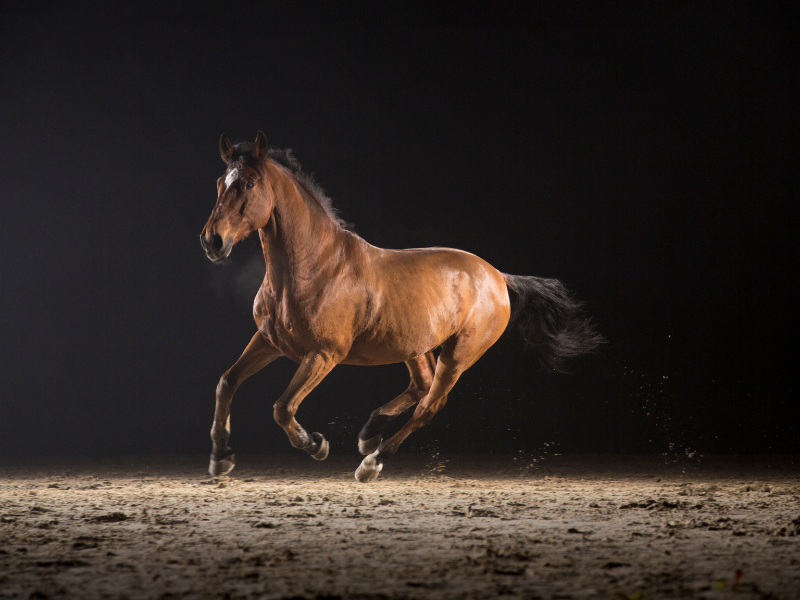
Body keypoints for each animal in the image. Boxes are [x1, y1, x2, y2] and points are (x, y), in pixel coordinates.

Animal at [200, 131, 602, 482]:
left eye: (249, 184)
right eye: (220, 182)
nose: (212, 241)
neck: (315, 267)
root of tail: (498, 277)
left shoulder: (323, 354)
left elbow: (283, 407)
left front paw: (316, 444)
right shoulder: (270, 341)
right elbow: (226, 382)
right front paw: (221, 458)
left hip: (459, 354)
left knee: (430, 404)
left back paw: (372, 462)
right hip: (415, 345)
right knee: (421, 384)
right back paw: (370, 432)